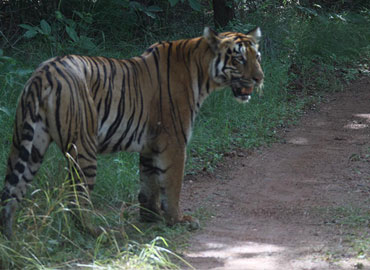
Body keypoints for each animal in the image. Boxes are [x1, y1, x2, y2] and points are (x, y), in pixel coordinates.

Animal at [1, 26, 264, 238]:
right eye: (239, 58)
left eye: (257, 56)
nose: (260, 78)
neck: (202, 72)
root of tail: (44, 72)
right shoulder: (174, 142)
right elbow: (172, 184)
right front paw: (177, 220)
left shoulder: (151, 144)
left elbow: (149, 184)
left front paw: (151, 218)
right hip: (82, 147)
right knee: (76, 198)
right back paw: (95, 232)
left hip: (28, 145)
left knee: (10, 192)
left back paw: (11, 241)